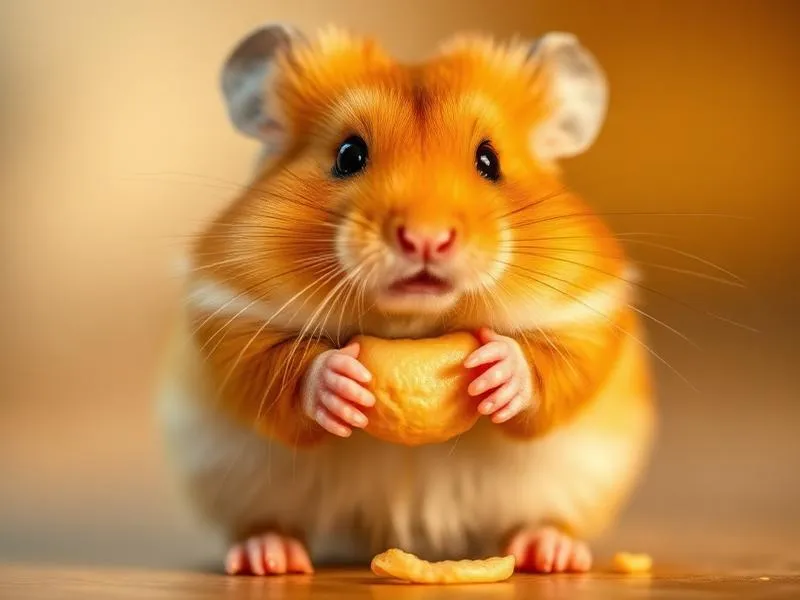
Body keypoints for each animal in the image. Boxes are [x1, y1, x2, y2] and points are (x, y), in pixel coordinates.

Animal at [156, 23, 656, 576]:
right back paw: (268, 556)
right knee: (265, 522)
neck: (413, 320)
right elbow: (271, 366)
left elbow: (558, 363)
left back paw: (551, 553)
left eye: (490, 160)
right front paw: (340, 381)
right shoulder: (226, 308)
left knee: (541, 521)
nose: (425, 239)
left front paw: (497, 370)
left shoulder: (589, 307)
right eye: (349, 154)